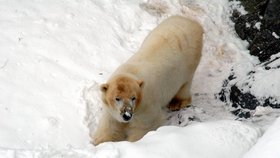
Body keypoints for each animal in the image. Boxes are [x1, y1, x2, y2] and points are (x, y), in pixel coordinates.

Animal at [92, 15, 203, 145]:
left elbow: (144, 126)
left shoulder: (146, 105)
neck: (130, 73)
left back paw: (177, 103)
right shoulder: (111, 110)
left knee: (185, 84)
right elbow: (110, 126)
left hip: (188, 63)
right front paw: (100, 142)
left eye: (133, 98)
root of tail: (193, 22)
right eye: (117, 98)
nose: (126, 115)